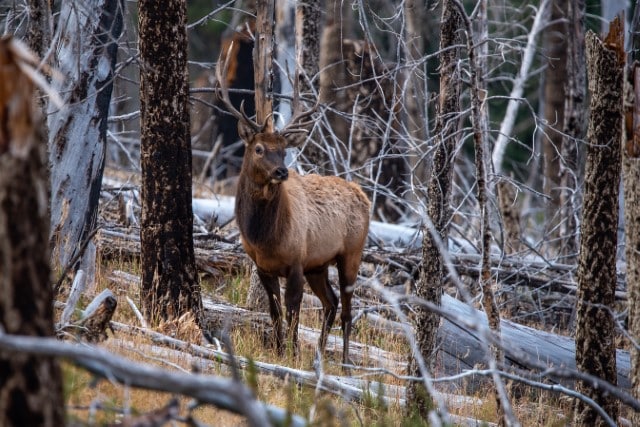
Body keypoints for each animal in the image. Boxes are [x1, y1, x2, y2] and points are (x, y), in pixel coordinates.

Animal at [216, 54, 370, 368]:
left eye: (284, 150)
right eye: (259, 149)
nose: (282, 171)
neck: (266, 237)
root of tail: (364, 196)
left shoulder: (297, 261)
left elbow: (293, 311)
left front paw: (293, 351)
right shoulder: (263, 266)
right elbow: (275, 310)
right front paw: (278, 349)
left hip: (351, 253)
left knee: (347, 310)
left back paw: (345, 362)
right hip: (319, 264)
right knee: (331, 302)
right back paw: (320, 353)